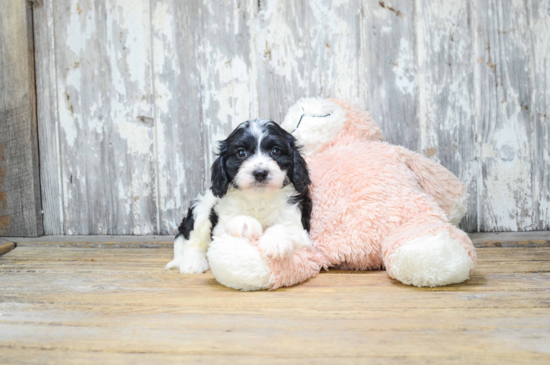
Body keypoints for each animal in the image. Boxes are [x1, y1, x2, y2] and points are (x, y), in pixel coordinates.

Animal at [166, 118, 312, 272]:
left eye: (275, 151)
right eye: (241, 153)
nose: (260, 173)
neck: (259, 199)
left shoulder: (302, 230)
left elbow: (287, 228)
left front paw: (275, 242)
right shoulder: (220, 227)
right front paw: (245, 223)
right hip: (201, 207)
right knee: (191, 238)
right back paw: (193, 263)